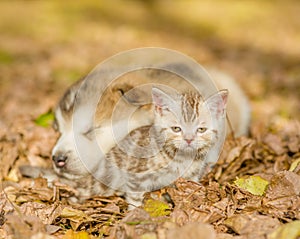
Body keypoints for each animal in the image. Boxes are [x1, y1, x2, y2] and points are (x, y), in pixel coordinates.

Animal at [96, 87, 227, 206]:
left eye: (201, 129)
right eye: (176, 128)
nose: (189, 139)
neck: (182, 158)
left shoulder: (191, 176)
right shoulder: (135, 174)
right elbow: (135, 198)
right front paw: (137, 212)